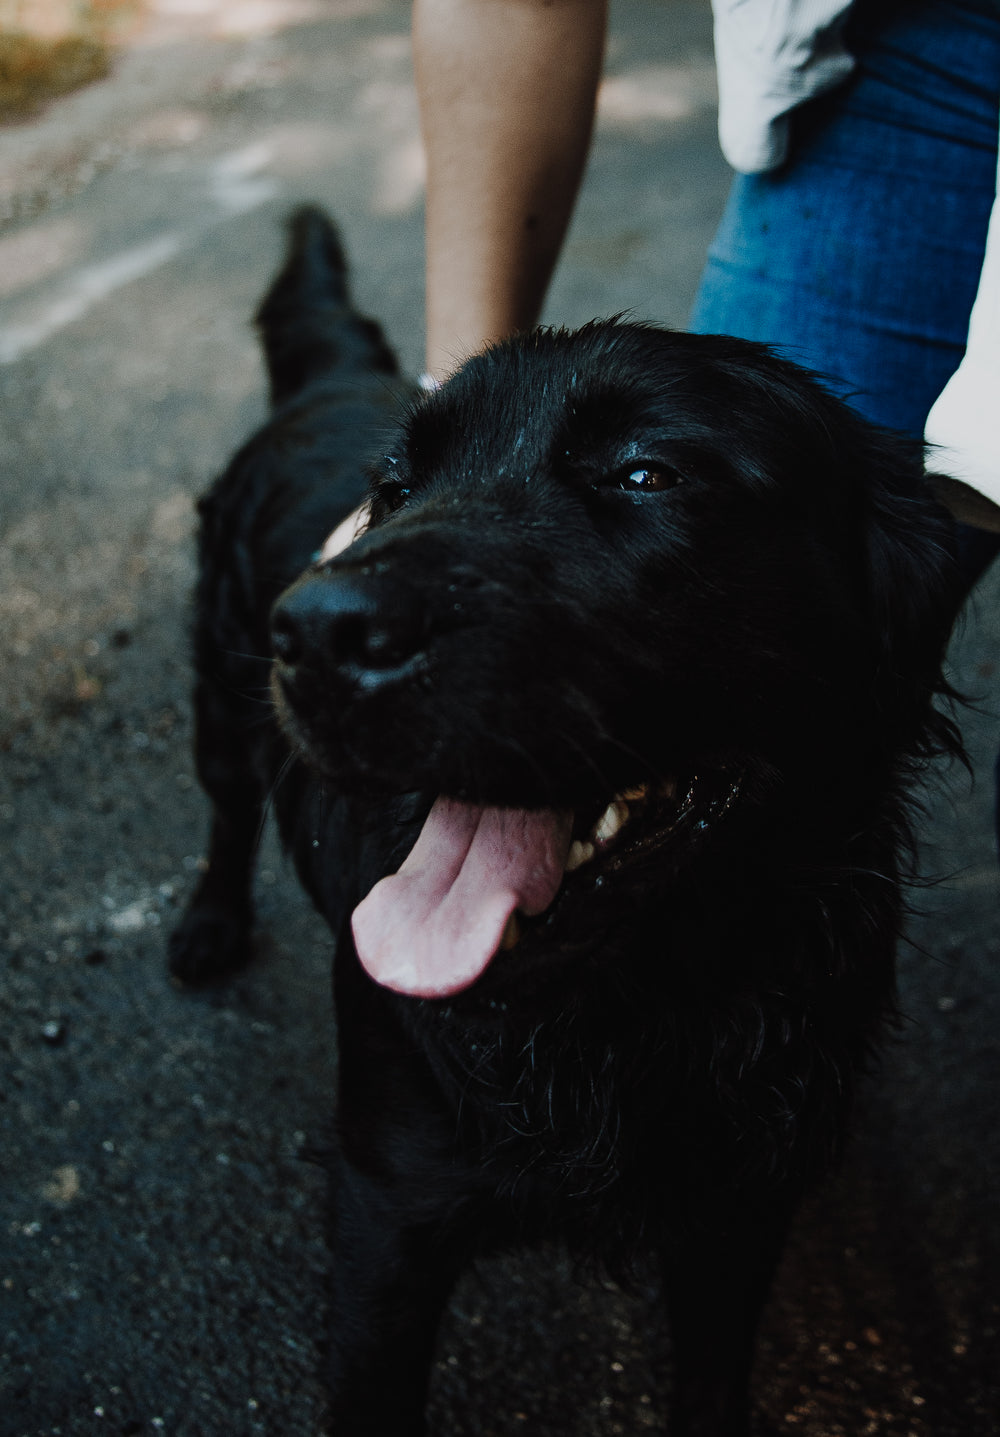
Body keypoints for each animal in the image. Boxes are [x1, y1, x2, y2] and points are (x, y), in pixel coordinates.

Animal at [170, 205, 959, 1437]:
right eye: (395, 487)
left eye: (645, 473)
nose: (317, 632)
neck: (631, 1011)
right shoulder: (383, 1220)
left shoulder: (739, 1214)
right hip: (217, 696)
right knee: (226, 812)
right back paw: (208, 922)